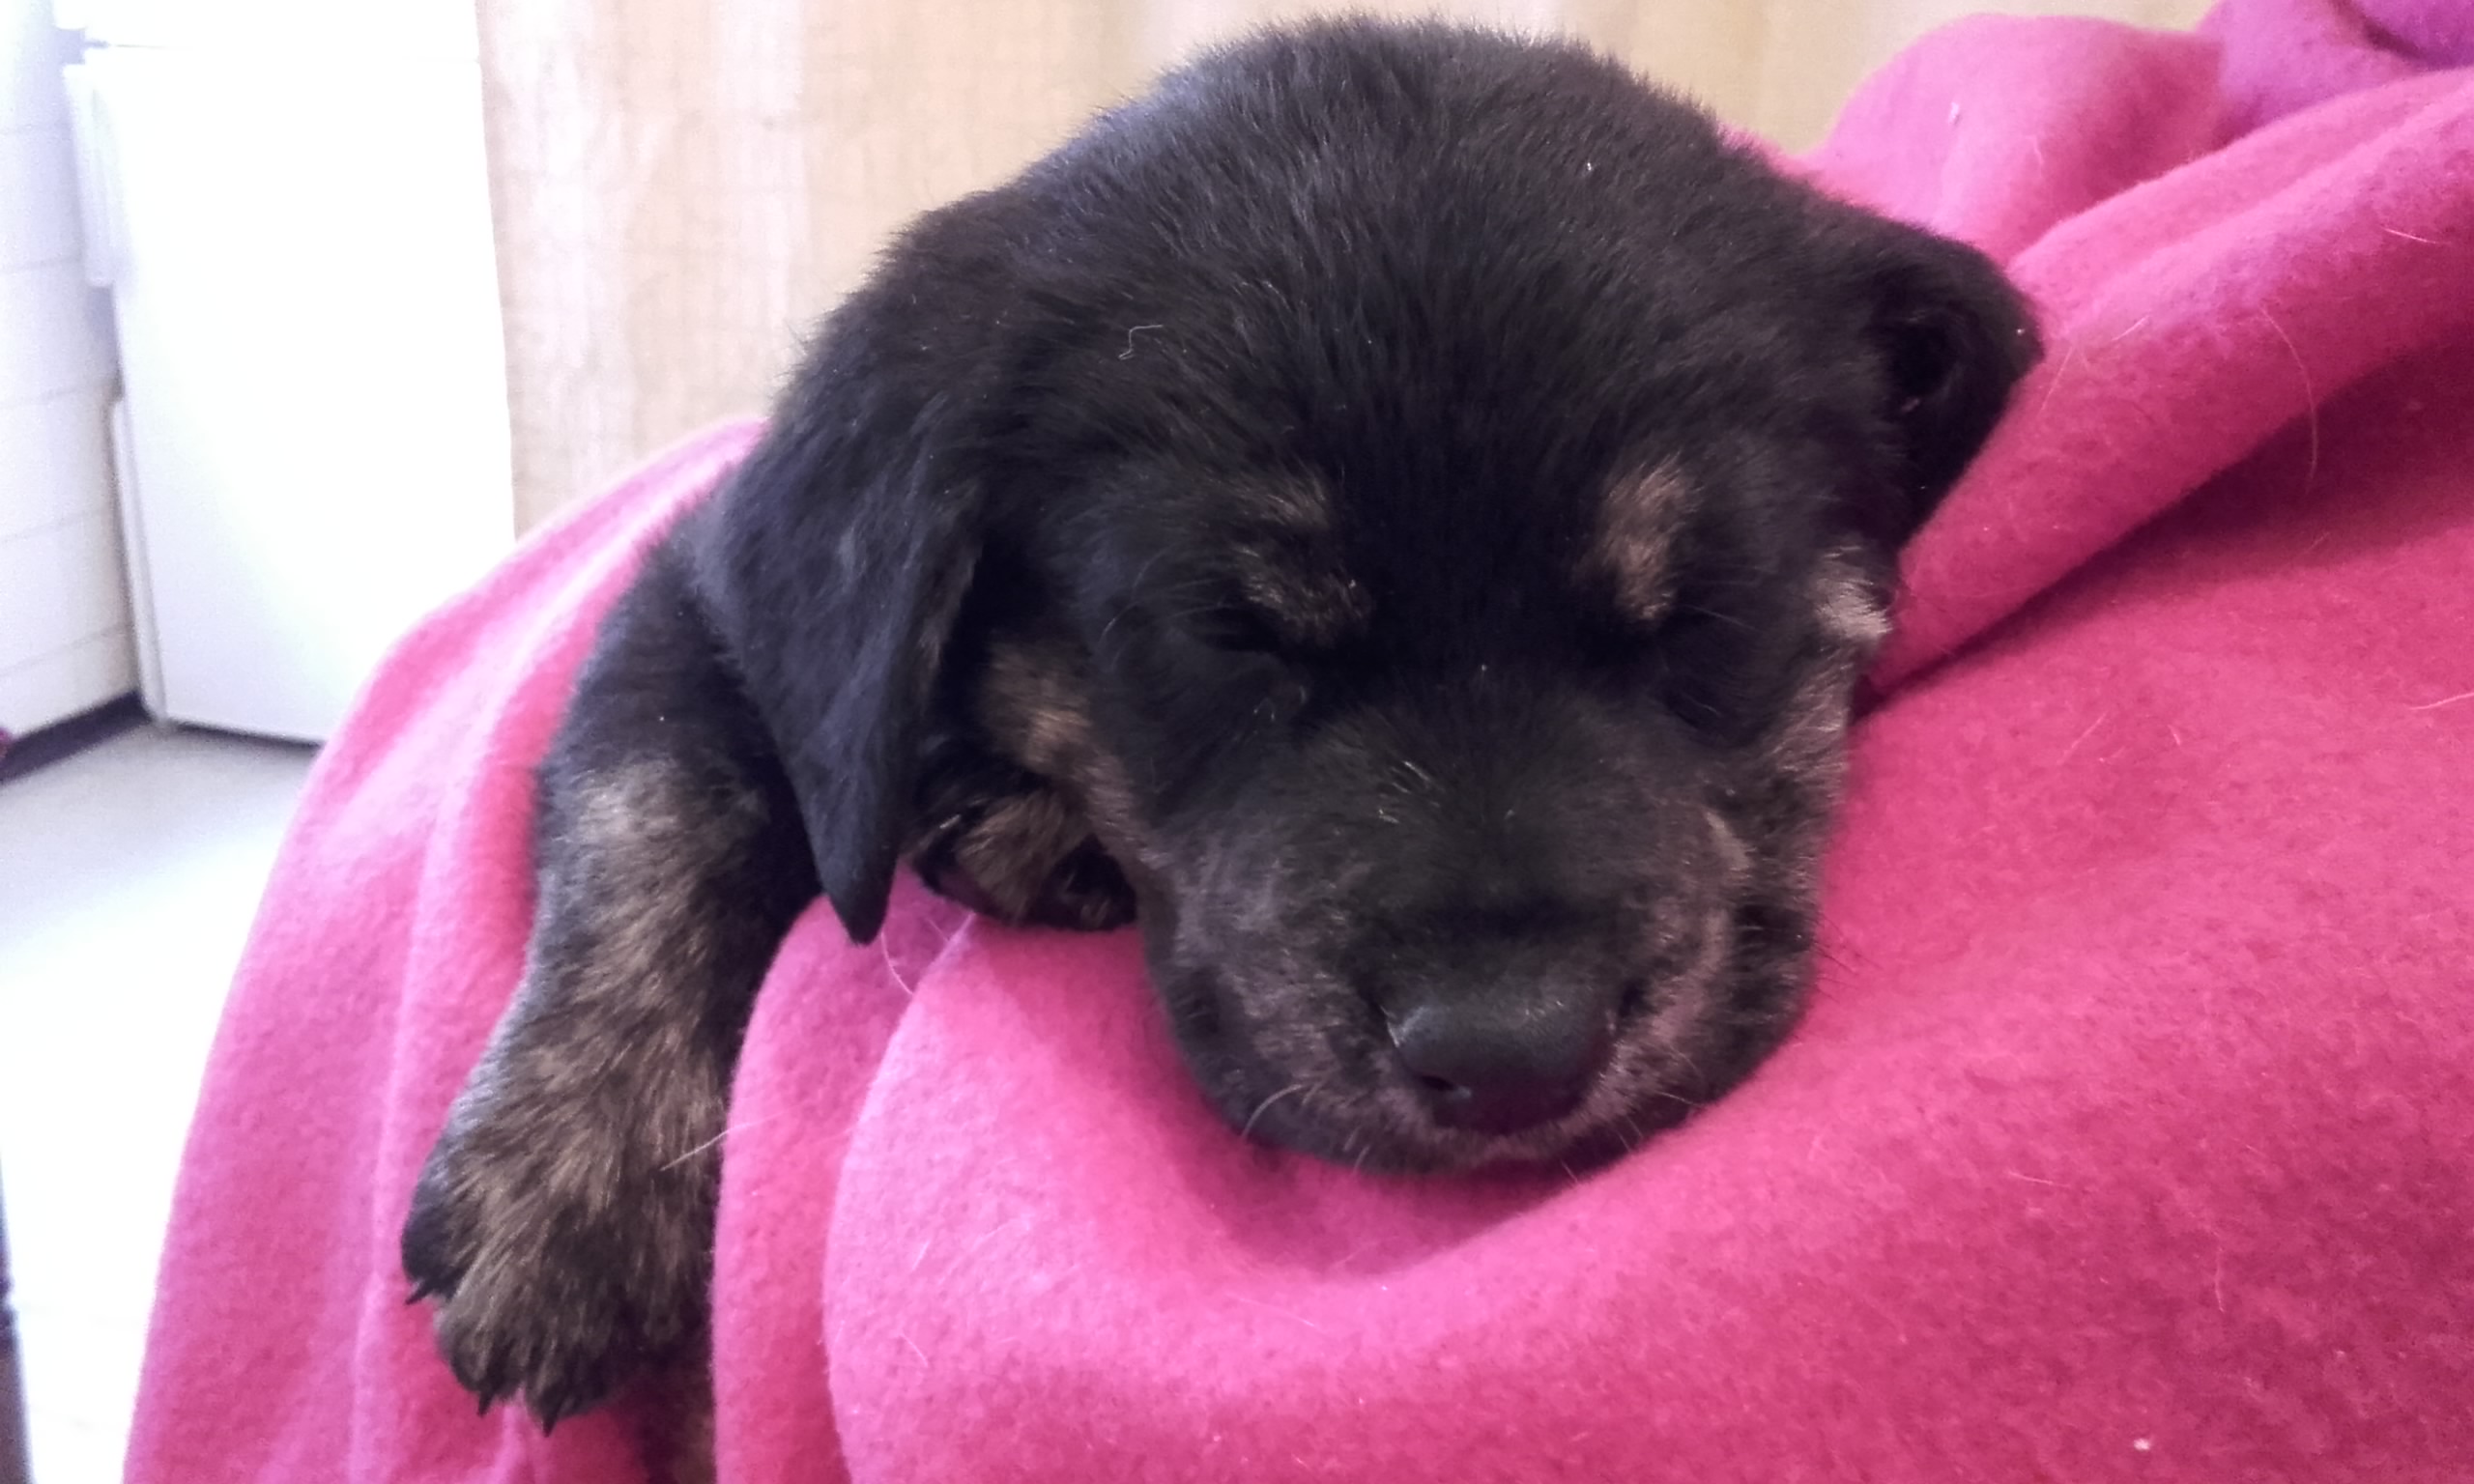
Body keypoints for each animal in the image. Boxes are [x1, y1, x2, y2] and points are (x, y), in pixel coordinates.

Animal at [402, 17, 2038, 1434]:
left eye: (1708, 612)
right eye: (1228, 634)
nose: (1512, 1058)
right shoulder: (717, 587)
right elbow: (647, 802)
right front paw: (556, 1186)